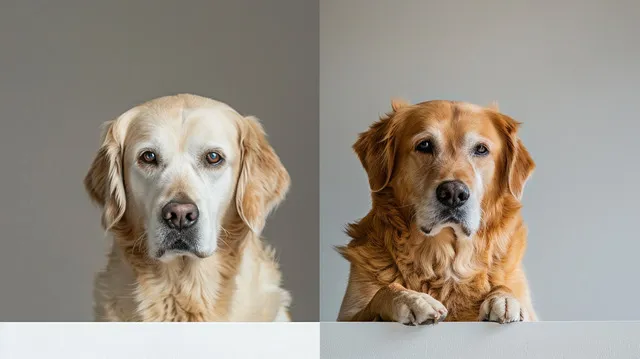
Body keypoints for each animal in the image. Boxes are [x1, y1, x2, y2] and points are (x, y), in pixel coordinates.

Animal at [338, 99, 536, 326]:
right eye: (424, 145)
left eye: (481, 149)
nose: (453, 193)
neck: (445, 261)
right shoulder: (347, 316)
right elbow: (383, 291)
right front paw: (414, 299)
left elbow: (506, 288)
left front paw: (505, 299)